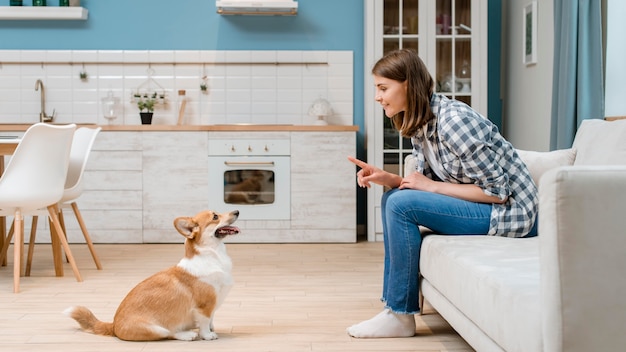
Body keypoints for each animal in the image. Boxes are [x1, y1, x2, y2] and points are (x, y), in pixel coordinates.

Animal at [64, 209, 239, 340]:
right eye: (215, 217)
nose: (237, 211)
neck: (214, 255)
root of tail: (113, 325)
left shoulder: (213, 305)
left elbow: (211, 320)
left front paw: (212, 329)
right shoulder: (205, 306)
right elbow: (204, 323)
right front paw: (207, 335)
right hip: (156, 329)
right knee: (170, 333)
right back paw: (187, 334)